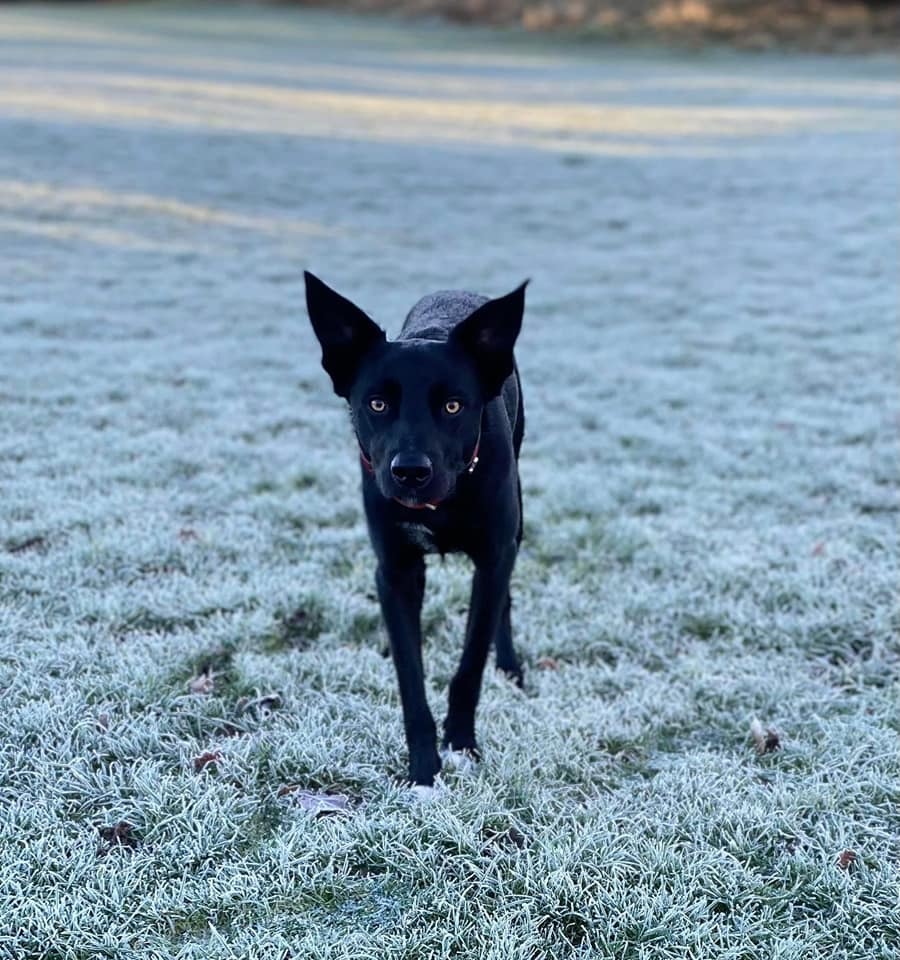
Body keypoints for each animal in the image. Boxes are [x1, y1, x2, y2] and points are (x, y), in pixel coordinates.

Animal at [306, 272, 528, 788]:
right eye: (377, 403)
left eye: (453, 406)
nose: (409, 471)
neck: (441, 503)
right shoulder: (395, 569)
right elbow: (411, 675)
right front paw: (424, 770)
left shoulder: (493, 557)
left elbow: (470, 663)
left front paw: (462, 745)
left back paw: (509, 664)